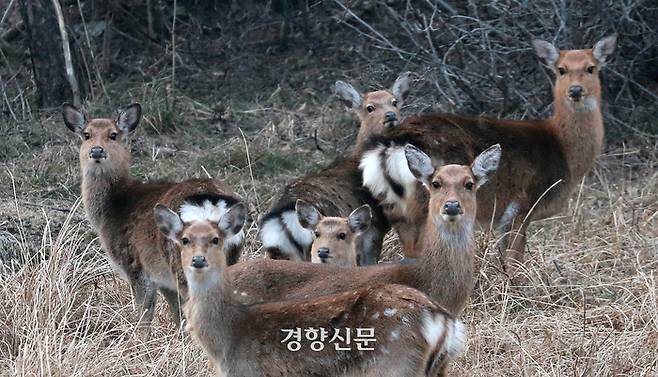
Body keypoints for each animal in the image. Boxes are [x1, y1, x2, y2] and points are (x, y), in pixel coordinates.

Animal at [62, 103, 243, 332]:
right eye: (86, 134)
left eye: (113, 135)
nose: (96, 150)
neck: (113, 209)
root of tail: (212, 203)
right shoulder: (163, 279)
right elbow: (177, 316)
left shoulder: (136, 266)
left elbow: (143, 317)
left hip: (184, 262)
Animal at [154, 200, 464, 376]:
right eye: (184, 239)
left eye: (216, 239)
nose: (198, 260)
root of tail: (443, 321)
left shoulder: (250, 371)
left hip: (396, 363)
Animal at [258, 71, 408, 264]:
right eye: (370, 107)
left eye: (394, 102)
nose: (390, 115)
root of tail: (281, 218)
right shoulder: (373, 230)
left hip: (276, 251)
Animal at [356, 34, 612, 274]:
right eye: (561, 69)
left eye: (591, 67)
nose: (575, 90)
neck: (562, 149)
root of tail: (390, 146)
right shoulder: (521, 205)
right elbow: (515, 262)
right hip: (423, 207)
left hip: (394, 212)